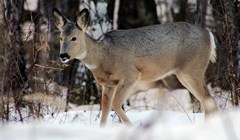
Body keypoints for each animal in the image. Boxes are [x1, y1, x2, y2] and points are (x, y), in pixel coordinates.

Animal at [53, 8, 218, 126]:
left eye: (74, 38)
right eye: (60, 38)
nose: (63, 55)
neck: (103, 57)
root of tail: (210, 35)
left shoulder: (130, 75)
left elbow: (116, 104)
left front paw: (132, 127)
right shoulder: (108, 84)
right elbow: (105, 110)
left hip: (193, 69)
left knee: (209, 100)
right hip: (184, 74)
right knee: (207, 101)